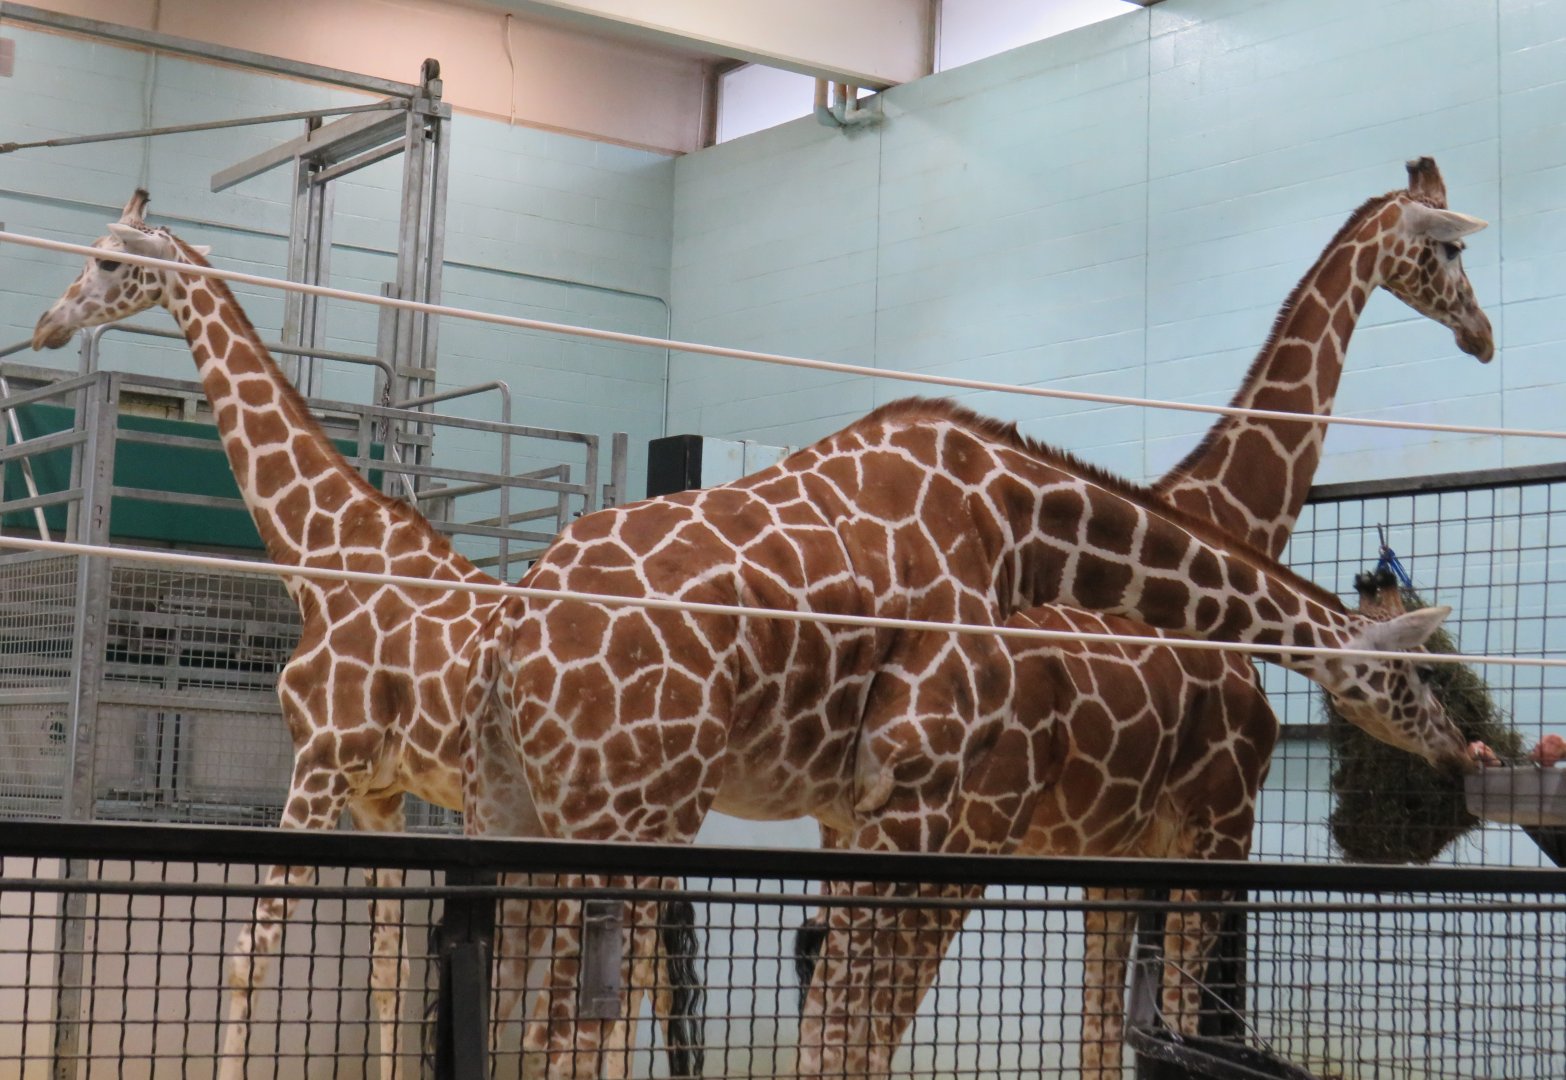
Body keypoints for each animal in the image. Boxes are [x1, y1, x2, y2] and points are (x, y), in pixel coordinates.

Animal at [29, 190, 703, 1080]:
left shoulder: (320, 763)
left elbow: (249, 953)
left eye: (107, 260)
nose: (46, 324)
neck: (324, 558)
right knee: (644, 980)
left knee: (632, 985)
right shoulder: (379, 793)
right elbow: (388, 968)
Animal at [460, 394, 1474, 1079]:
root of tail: (515, 626)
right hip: (633, 814)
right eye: (1424, 674)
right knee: (565, 1037)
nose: (1467, 751)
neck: (1015, 525)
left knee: (506, 1020)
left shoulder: (874, 810)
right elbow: (842, 1034)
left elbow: (840, 1028)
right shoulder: (912, 788)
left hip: (514, 812)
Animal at [790, 155, 1497, 1077]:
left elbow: (1101, 1033)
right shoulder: (1220, 823)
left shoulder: (1110, 850)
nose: (1482, 334)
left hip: (847, 837)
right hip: (957, 841)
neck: (1230, 516)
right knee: (859, 1022)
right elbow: (1186, 1019)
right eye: (1451, 249)